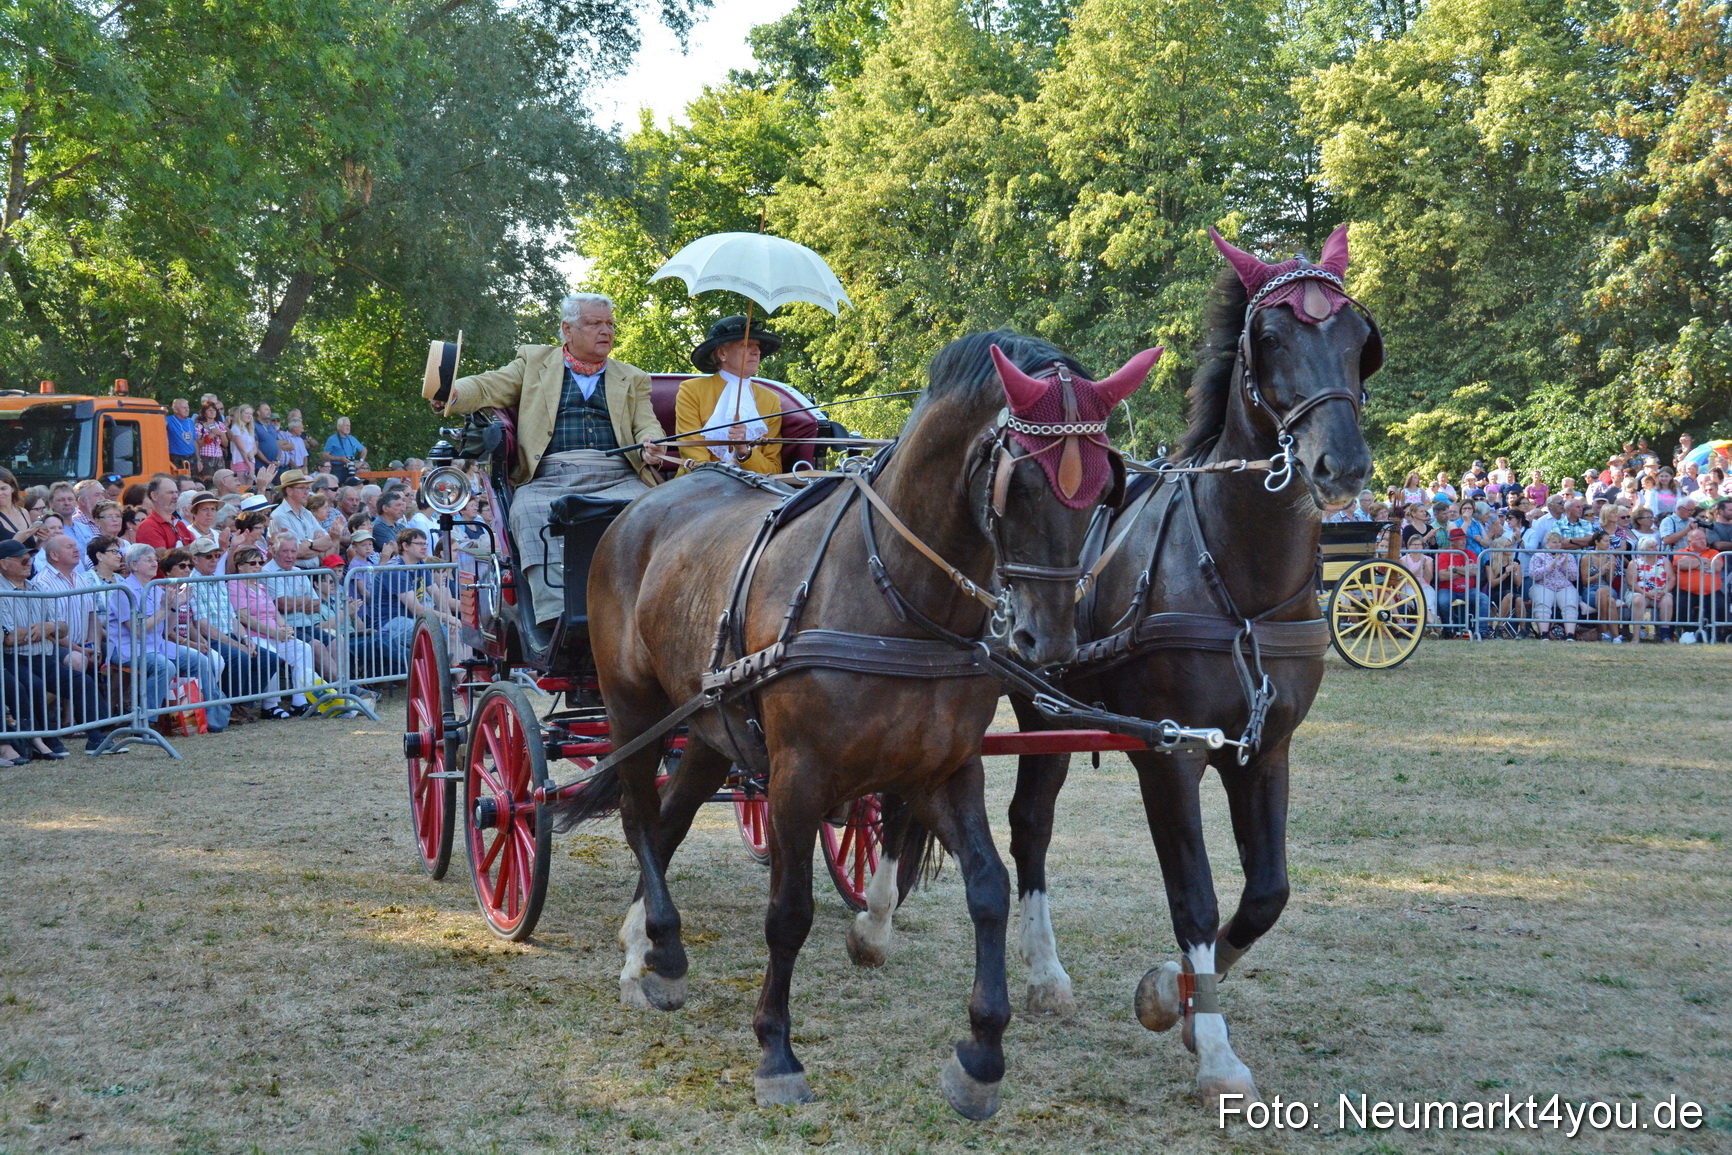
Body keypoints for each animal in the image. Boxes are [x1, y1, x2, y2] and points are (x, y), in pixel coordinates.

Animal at [555, 330, 1158, 1118]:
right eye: (1020, 484)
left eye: (1100, 492)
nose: (1047, 641)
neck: (897, 594)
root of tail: (643, 506)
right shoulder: (798, 777)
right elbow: (789, 911)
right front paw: (776, 1050)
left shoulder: (944, 769)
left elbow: (989, 888)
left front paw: (982, 1052)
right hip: (635, 708)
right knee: (635, 814)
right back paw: (660, 945)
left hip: (711, 729)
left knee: (668, 821)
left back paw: (652, 952)